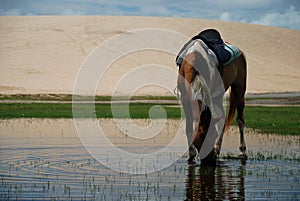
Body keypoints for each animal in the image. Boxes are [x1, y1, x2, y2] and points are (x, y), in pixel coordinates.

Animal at [176, 30, 246, 165]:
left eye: (212, 135)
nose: (210, 161)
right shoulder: (185, 97)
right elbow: (189, 127)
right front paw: (191, 155)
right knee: (223, 119)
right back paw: (218, 150)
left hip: (239, 89)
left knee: (240, 120)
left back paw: (242, 151)